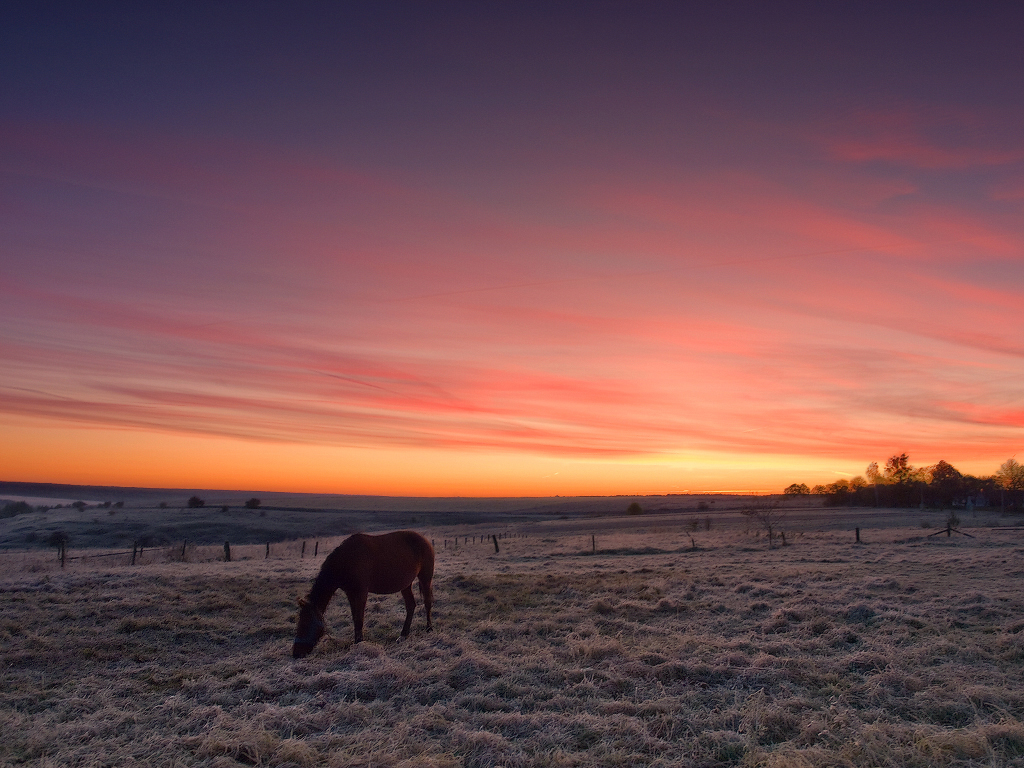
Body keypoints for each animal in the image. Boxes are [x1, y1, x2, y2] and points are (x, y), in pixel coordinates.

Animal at [292, 532, 432, 659]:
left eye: (305, 624)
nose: (296, 653)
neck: (346, 560)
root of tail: (425, 539)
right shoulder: (350, 593)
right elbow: (355, 617)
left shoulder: (361, 592)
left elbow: (359, 618)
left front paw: (359, 644)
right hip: (406, 585)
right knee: (411, 605)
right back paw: (403, 635)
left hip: (425, 578)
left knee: (427, 603)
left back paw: (429, 628)